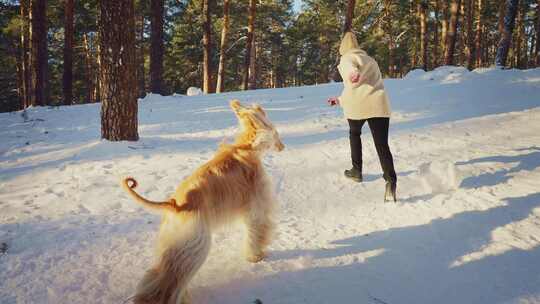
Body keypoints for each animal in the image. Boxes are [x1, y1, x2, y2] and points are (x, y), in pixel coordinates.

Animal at [121, 100, 284, 304]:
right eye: (275, 131)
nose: (282, 147)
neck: (247, 147)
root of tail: (174, 203)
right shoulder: (257, 206)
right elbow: (257, 233)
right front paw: (256, 257)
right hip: (193, 245)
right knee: (171, 280)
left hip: (175, 244)